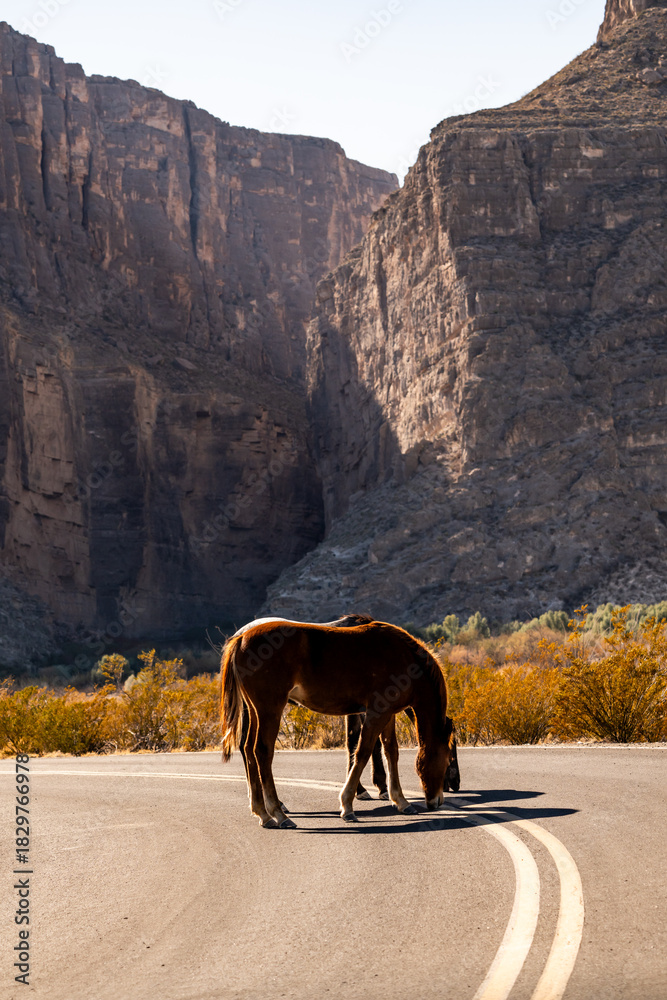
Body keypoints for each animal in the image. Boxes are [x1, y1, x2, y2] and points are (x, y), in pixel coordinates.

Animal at [221, 620, 456, 828]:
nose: (437, 801)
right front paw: (347, 805)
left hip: (255, 711)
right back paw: (278, 814)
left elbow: (391, 752)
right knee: (262, 751)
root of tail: (241, 638)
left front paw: (401, 800)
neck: (404, 657)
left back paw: (262, 812)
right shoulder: (376, 712)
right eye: (446, 761)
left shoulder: (388, 714)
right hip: (270, 709)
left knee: (249, 750)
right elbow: (362, 752)